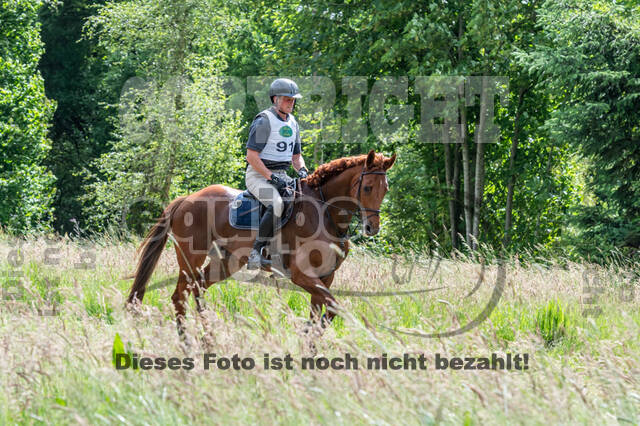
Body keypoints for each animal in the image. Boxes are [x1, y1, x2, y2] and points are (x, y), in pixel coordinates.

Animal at [127, 149, 396, 336]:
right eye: (367, 187)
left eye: (385, 189)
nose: (372, 228)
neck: (324, 213)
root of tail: (186, 199)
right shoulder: (302, 275)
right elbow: (332, 308)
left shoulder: (325, 277)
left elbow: (322, 313)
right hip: (190, 258)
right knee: (180, 295)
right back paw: (189, 342)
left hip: (226, 263)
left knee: (198, 288)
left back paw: (208, 336)